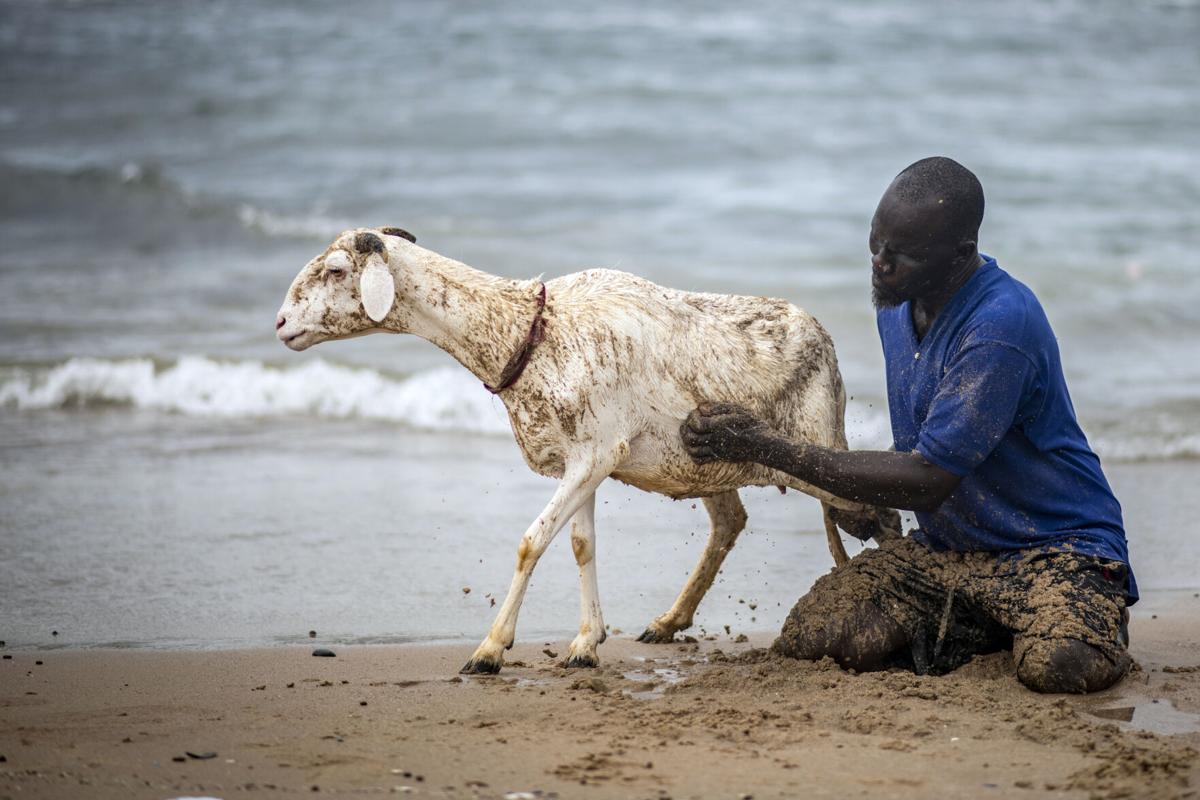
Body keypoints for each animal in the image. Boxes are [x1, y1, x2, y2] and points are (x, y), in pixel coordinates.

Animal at [278, 227, 902, 671]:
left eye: (336, 269)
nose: (282, 324)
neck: (532, 331)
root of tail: (826, 341)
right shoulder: (581, 460)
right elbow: (581, 545)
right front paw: (586, 642)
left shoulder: (596, 453)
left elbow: (532, 543)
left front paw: (490, 649)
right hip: (707, 463)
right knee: (731, 521)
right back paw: (668, 621)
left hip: (821, 452)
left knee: (881, 511)